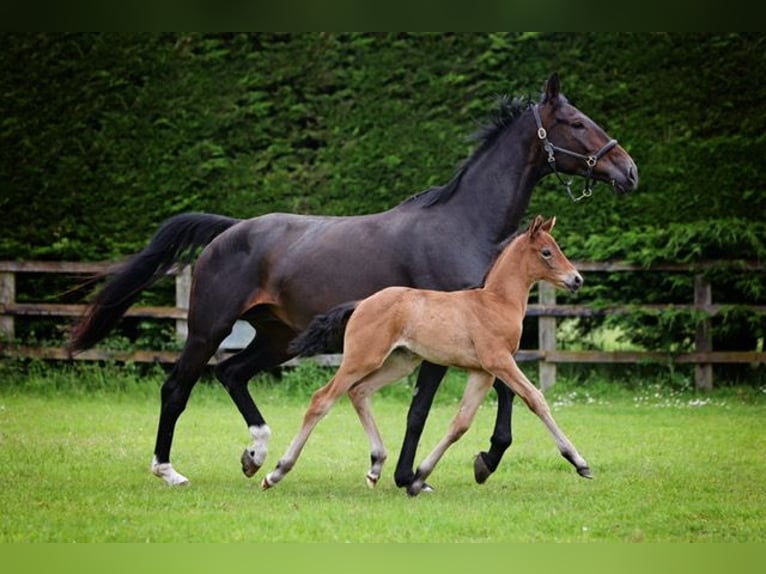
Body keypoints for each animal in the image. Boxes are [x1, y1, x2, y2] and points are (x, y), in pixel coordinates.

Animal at [264, 218, 592, 498]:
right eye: (547, 252)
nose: (577, 279)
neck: (496, 302)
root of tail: (362, 303)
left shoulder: (481, 372)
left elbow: (460, 423)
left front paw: (419, 477)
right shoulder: (499, 361)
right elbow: (535, 399)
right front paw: (580, 462)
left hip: (399, 362)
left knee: (359, 392)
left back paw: (376, 465)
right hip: (362, 358)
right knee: (322, 399)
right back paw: (276, 472)